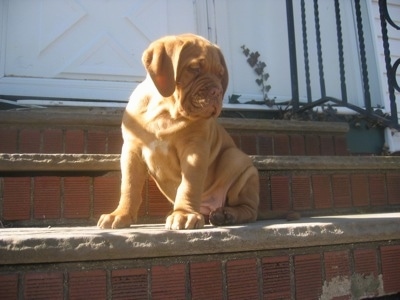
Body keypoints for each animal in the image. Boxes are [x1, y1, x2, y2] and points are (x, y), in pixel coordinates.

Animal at [97, 33, 260, 230]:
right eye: (195, 68)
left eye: (220, 74)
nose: (217, 91)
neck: (165, 111)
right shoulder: (131, 150)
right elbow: (129, 186)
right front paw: (120, 214)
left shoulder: (194, 150)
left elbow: (189, 185)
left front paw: (184, 214)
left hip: (237, 160)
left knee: (249, 209)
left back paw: (226, 214)